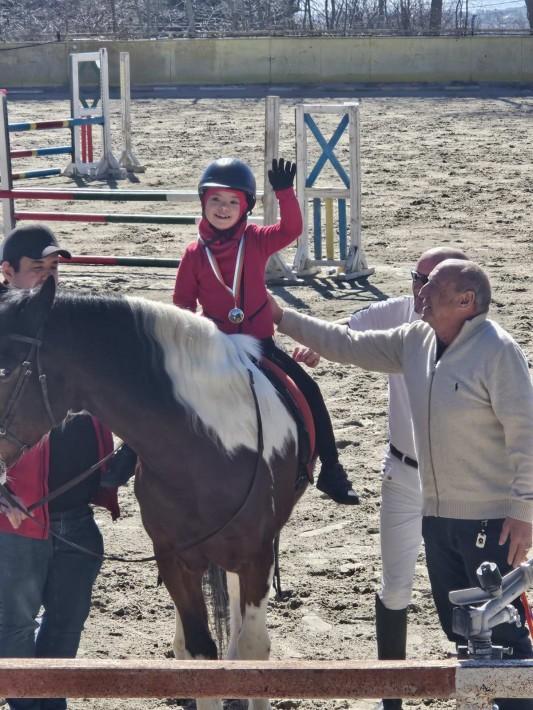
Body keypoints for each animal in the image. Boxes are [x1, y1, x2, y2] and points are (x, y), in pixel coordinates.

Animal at [0, 278, 308, 710]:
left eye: (5, 370)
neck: (202, 449)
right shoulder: (174, 558)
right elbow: (199, 653)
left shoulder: (257, 556)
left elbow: (253, 651)